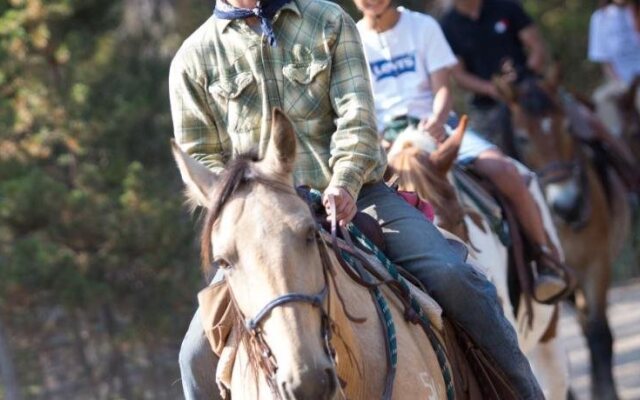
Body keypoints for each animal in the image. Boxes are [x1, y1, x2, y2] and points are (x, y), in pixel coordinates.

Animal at [496, 69, 632, 400]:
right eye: (522, 137)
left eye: (569, 127)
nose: (568, 204)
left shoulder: (595, 265)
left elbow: (598, 333)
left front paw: (605, 391)